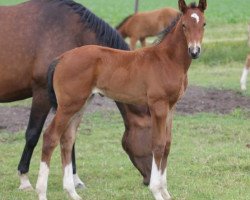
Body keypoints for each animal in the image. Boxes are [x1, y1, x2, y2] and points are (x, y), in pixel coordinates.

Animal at [0, 0, 152, 191]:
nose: (149, 180)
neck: (73, 33)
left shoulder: (71, 101)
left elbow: (68, 137)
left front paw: (74, 179)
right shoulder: (42, 94)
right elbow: (33, 134)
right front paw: (24, 179)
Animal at [35, 0, 207, 199]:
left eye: (203, 24)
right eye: (184, 25)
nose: (194, 51)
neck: (167, 60)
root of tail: (61, 58)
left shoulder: (171, 107)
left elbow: (167, 145)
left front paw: (166, 192)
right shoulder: (158, 105)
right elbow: (158, 144)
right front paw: (156, 191)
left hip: (81, 105)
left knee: (67, 140)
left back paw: (72, 193)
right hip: (68, 105)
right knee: (50, 137)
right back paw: (41, 192)